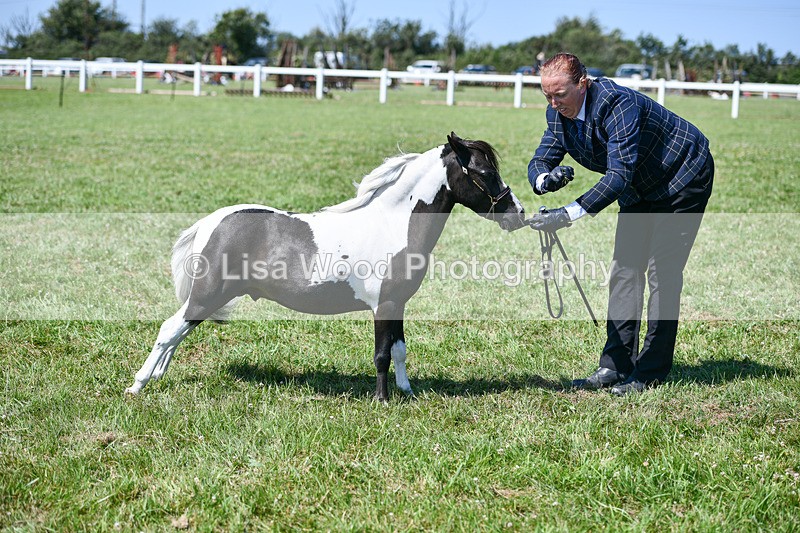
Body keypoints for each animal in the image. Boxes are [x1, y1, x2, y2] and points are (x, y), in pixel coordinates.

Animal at [125, 132, 526, 401]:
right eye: (484, 173)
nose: (518, 212)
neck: (392, 223)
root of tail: (213, 221)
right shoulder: (383, 306)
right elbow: (382, 354)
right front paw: (382, 400)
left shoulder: (397, 304)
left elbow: (399, 350)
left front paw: (407, 391)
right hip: (208, 294)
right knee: (170, 329)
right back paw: (138, 385)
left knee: (178, 332)